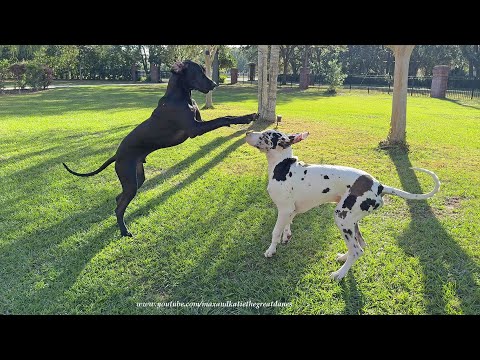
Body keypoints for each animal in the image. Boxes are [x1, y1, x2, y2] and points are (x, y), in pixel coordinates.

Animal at [246, 129, 440, 282]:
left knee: (357, 250)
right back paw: (343, 258)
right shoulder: (289, 211)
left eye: (264, 135)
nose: (248, 132)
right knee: (360, 244)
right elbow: (287, 226)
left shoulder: (283, 210)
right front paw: (286, 237)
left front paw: (271, 250)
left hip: (342, 218)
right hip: (351, 221)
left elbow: (275, 233)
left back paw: (339, 274)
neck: (283, 166)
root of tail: (380, 186)